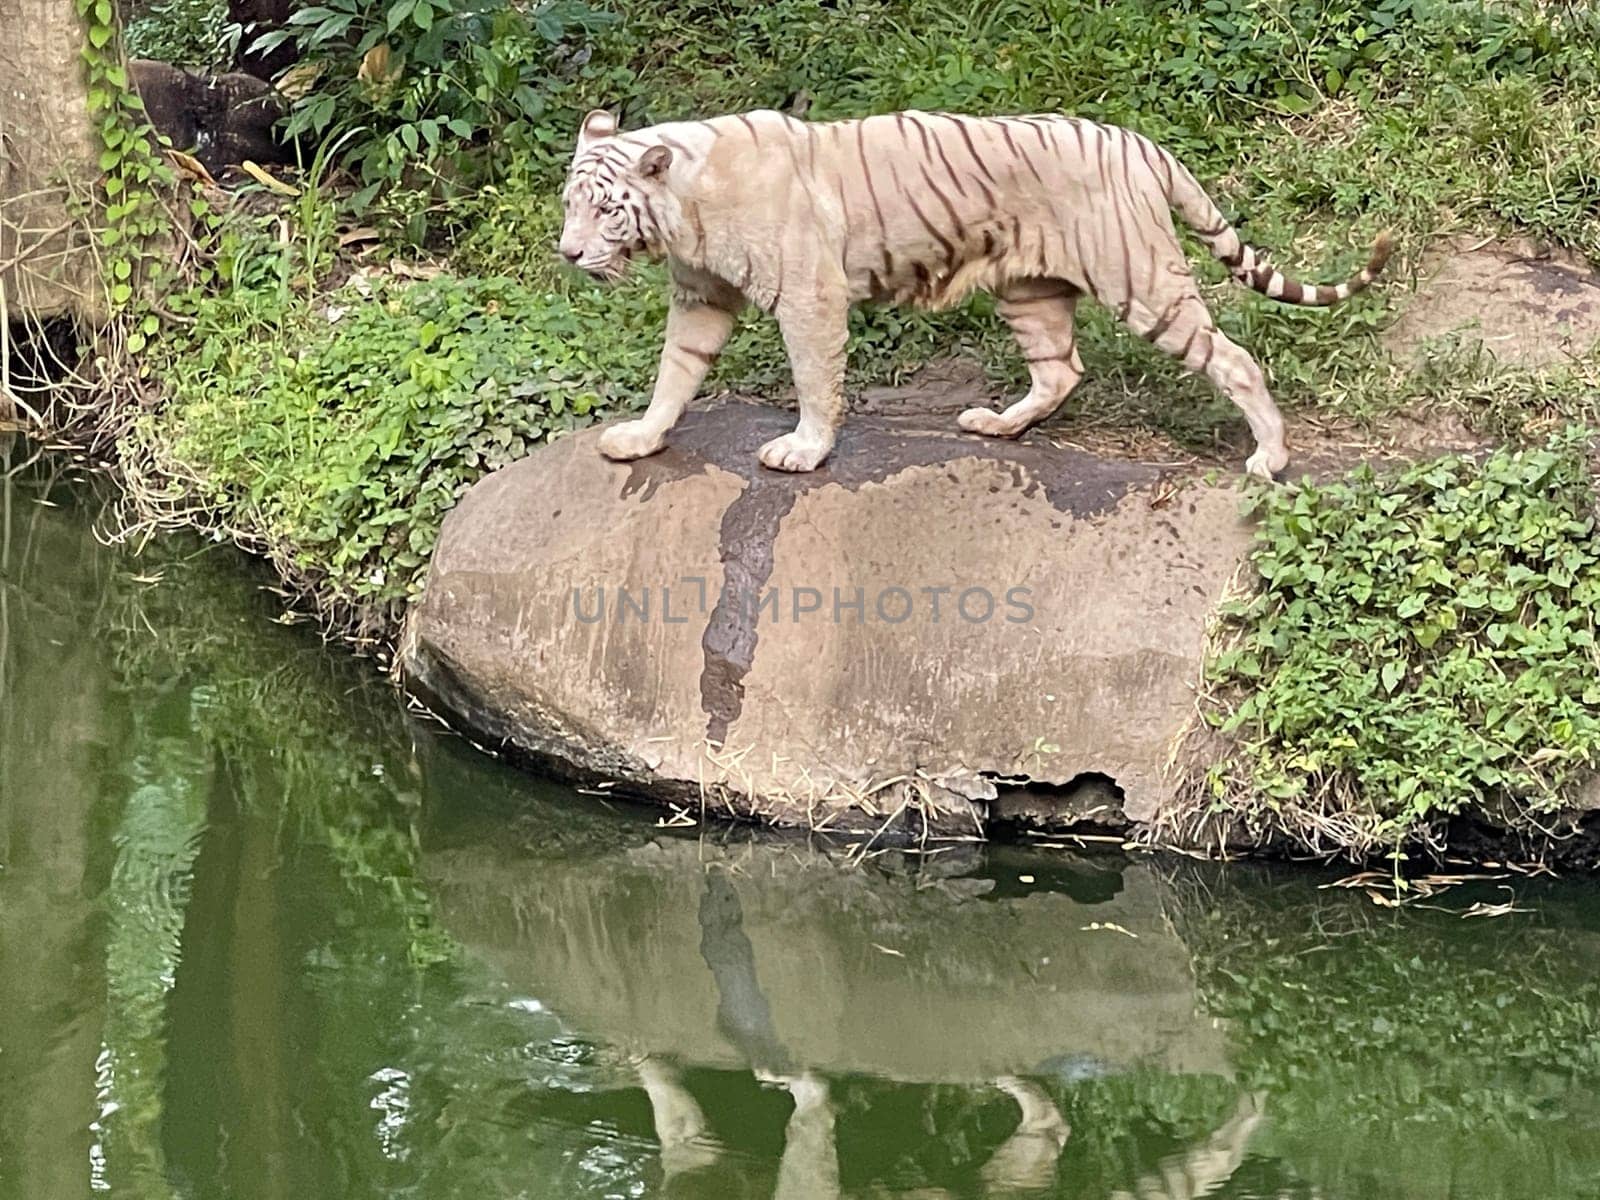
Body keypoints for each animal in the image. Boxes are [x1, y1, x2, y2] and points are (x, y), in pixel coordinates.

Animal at [560, 105, 1388, 476]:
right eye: (570, 205)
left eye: (604, 210)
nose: (568, 253)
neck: (683, 210)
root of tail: (1140, 141)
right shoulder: (699, 300)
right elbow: (675, 373)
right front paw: (640, 438)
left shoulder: (809, 299)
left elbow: (815, 381)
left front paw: (804, 449)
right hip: (1029, 290)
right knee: (1060, 369)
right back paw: (997, 425)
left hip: (1143, 282)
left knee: (1236, 359)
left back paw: (1270, 458)